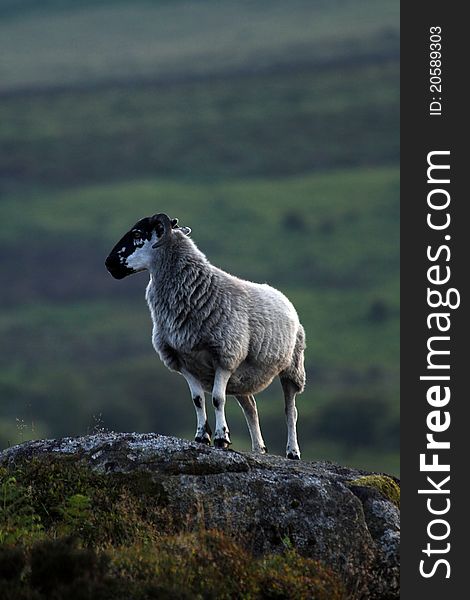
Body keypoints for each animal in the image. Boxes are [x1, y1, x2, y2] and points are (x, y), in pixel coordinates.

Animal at [104, 213, 306, 458]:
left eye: (136, 233)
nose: (108, 264)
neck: (198, 288)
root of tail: (282, 296)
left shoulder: (226, 356)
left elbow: (218, 399)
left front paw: (221, 438)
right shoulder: (182, 361)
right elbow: (198, 400)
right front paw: (202, 437)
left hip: (292, 368)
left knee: (290, 410)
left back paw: (292, 451)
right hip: (242, 378)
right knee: (251, 408)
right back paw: (259, 449)